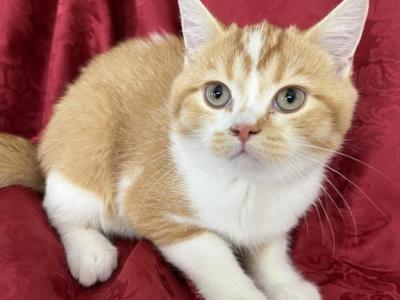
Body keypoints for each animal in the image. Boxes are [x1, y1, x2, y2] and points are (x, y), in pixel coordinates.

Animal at [0, 0, 368, 298]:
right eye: (217, 94)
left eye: (291, 98)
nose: (244, 127)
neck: (249, 187)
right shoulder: (150, 204)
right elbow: (215, 258)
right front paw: (244, 292)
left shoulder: (278, 217)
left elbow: (269, 250)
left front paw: (286, 284)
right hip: (87, 138)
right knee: (60, 205)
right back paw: (89, 250)